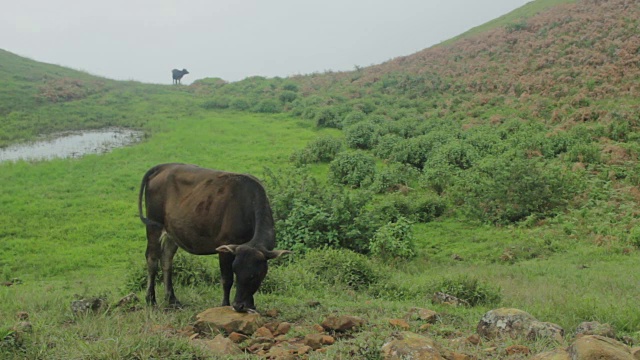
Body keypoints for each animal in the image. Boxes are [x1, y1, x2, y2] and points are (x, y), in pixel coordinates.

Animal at [139, 162, 290, 310]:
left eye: (255, 275)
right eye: (236, 270)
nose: (238, 305)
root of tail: (163, 166)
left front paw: (251, 306)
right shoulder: (225, 246)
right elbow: (227, 279)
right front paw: (225, 305)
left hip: (171, 232)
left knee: (166, 259)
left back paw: (172, 299)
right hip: (154, 225)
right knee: (152, 259)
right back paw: (151, 300)